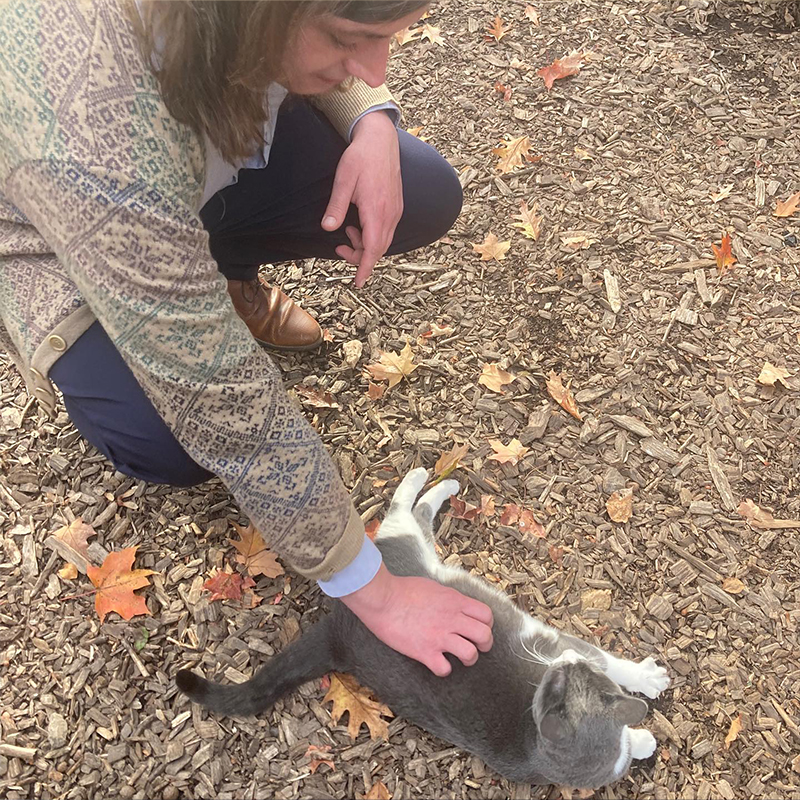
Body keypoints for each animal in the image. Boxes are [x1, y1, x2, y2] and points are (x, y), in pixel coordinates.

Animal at [178, 468, 672, 788]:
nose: (562, 665)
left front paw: (641, 741)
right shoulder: (558, 642)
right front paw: (647, 680)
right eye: (561, 679)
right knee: (403, 512)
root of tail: (340, 634)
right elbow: (609, 660)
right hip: (409, 552)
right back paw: (432, 480)